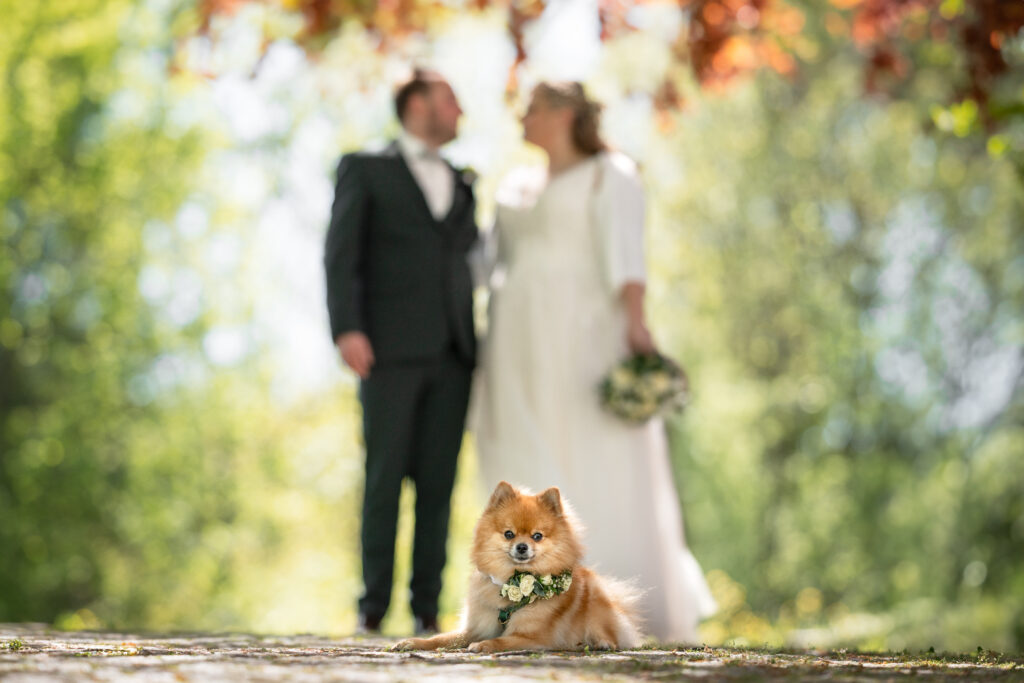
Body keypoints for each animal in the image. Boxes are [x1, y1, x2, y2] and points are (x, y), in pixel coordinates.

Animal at [391, 481, 638, 651]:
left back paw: (601, 643)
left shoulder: (533, 636)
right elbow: (442, 638)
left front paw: (485, 645)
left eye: (537, 536)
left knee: (613, 634)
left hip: (597, 601)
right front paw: (413, 642)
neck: (509, 581)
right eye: (508, 534)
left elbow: (501, 640)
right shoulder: (476, 627)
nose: (521, 546)